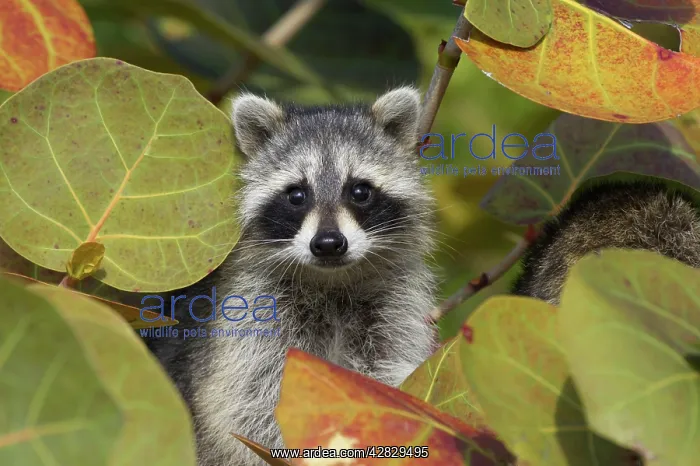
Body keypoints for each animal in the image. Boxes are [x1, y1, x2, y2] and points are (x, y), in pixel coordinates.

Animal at [145, 87, 439, 466]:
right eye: (297, 195)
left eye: (360, 191)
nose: (328, 244)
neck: (332, 282)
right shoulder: (252, 318)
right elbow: (247, 407)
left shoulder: (394, 311)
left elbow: (388, 375)